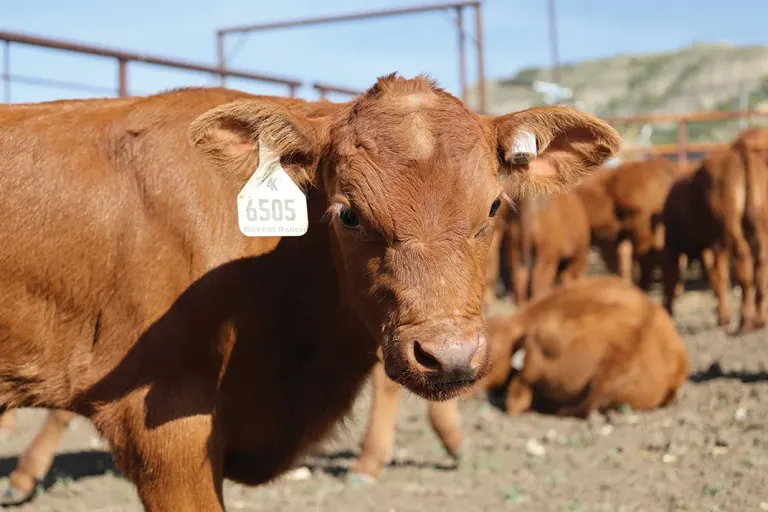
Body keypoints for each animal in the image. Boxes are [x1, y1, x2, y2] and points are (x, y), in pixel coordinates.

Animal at [663, 130, 768, 331]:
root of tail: (738, 148)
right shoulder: (713, 245)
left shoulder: (676, 245)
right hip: (758, 227)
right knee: (760, 266)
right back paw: (759, 319)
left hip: (730, 227)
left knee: (742, 263)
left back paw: (745, 319)